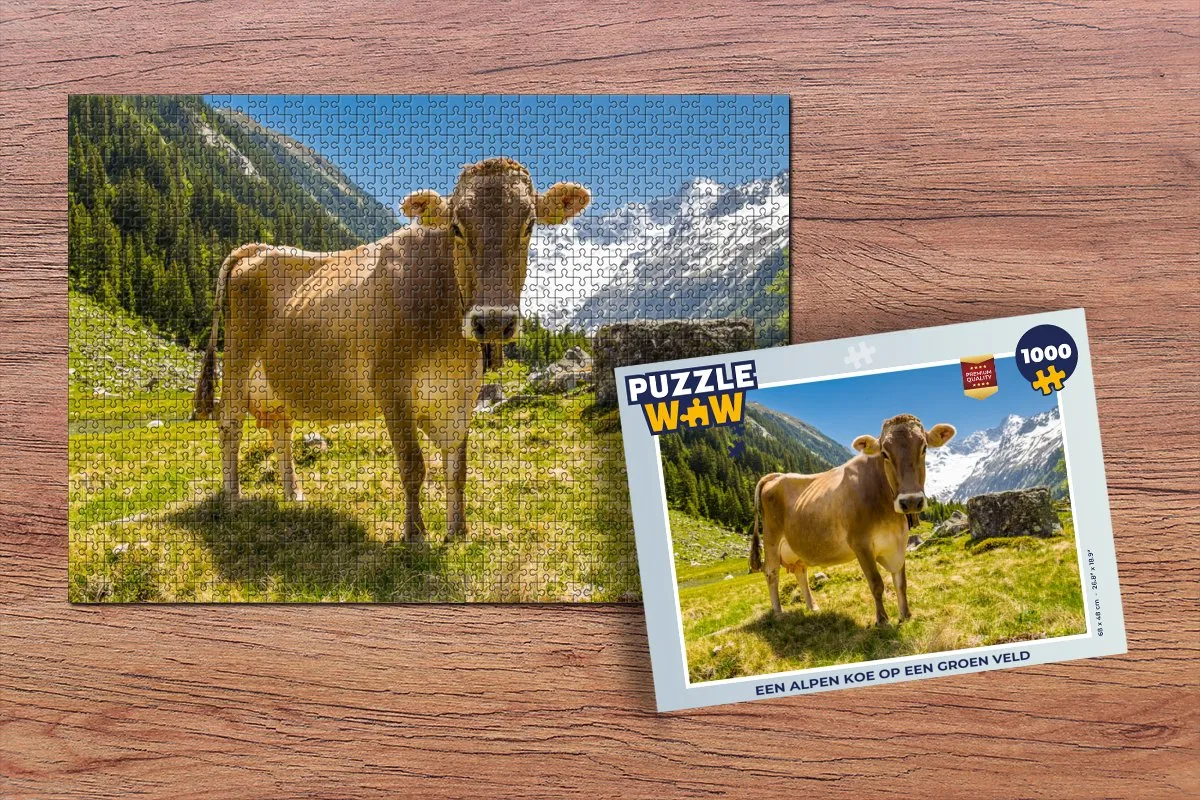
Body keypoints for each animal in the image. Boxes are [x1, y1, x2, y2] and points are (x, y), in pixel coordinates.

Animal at [192, 157, 591, 543]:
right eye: (457, 227)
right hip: (239, 358)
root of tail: (260, 248)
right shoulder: (391, 385)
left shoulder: (461, 393)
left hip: (276, 379)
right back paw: (232, 497)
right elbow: (413, 464)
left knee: (281, 425)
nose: (493, 321)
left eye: (528, 225)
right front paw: (414, 534)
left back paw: (293, 493)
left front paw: (458, 531)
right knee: (230, 423)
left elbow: (457, 468)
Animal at [749, 414, 956, 625]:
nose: (911, 501)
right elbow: (876, 583)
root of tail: (777, 476)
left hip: (795, 546)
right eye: (884, 453)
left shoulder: (899, 542)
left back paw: (812, 606)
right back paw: (778, 612)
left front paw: (905, 615)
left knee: (801, 571)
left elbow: (901, 582)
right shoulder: (860, 543)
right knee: (771, 572)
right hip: (772, 538)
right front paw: (882, 620)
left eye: (924, 448)